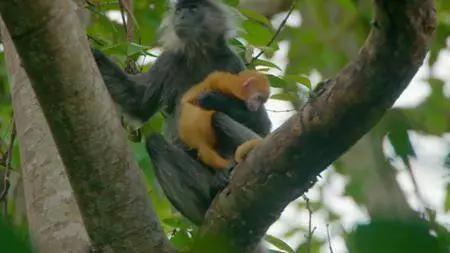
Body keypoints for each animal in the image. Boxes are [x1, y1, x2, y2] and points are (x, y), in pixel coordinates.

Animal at [89, 0, 268, 226]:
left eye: (193, 9)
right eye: (180, 10)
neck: (199, 53)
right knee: (155, 143)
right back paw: (210, 195)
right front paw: (94, 54)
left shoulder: (233, 63)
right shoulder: (169, 59)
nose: (182, 16)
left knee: (218, 118)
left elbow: (262, 126)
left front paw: (213, 98)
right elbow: (137, 103)